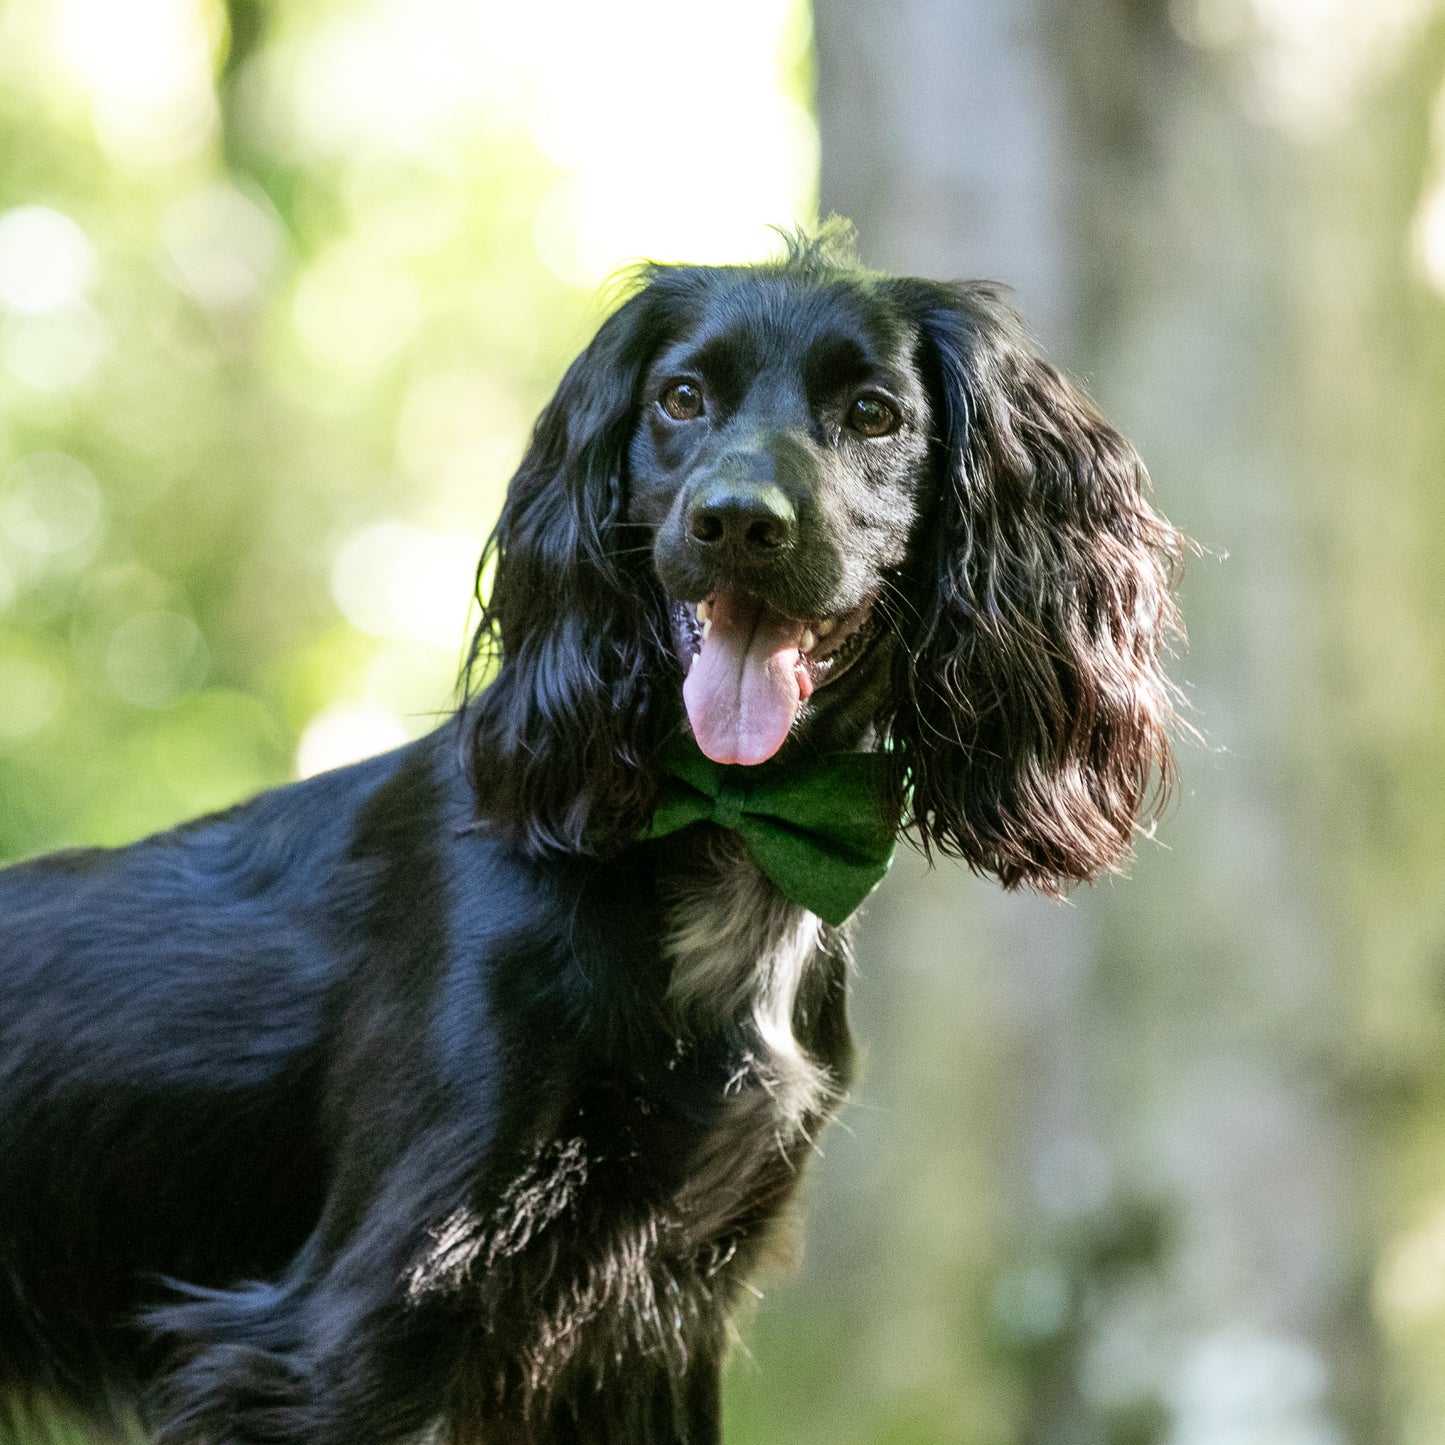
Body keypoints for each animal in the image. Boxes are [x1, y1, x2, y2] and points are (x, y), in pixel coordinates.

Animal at [0, 231, 1184, 1439]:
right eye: (679, 397)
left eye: (872, 412)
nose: (736, 520)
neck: (714, 829)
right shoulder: (343, 1332)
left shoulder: (656, 1318)